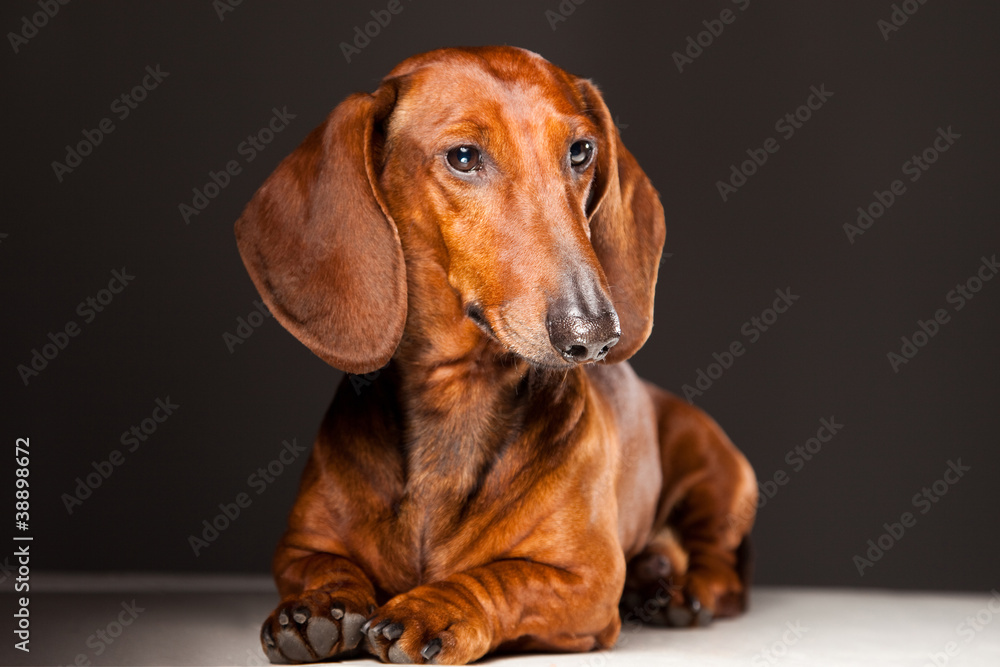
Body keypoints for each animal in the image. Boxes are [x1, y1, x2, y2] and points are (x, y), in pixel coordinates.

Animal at [234, 44, 752, 664]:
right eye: (463, 157)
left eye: (581, 151)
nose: (595, 331)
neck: (455, 395)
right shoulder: (298, 547)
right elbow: (321, 566)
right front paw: (320, 605)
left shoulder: (586, 578)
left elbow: (503, 578)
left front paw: (436, 607)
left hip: (715, 473)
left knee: (722, 568)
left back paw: (678, 591)